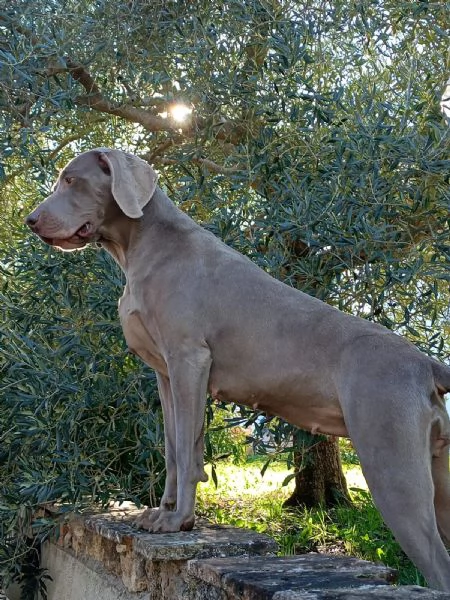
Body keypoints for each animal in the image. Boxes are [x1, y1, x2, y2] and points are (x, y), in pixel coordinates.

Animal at [26, 149, 450, 592]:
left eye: (71, 180)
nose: (31, 221)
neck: (142, 245)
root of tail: (426, 364)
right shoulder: (165, 373)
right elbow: (173, 448)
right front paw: (164, 513)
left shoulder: (189, 359)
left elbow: (186, 449)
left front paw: (179, 521)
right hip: (437, 473)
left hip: (391, 463)